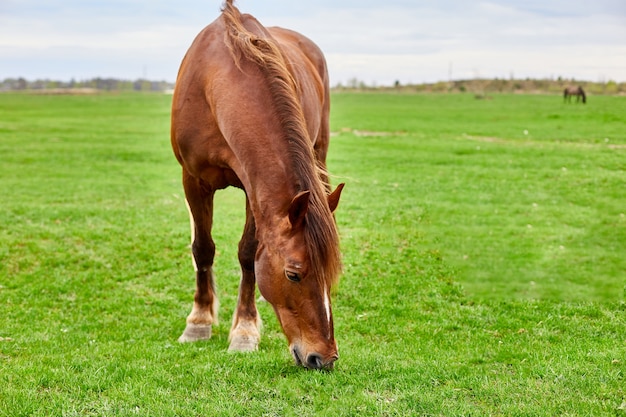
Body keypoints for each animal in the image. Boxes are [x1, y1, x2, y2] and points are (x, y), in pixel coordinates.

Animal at [168, 0, 344, 370]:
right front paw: (199, 322)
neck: (215, 82)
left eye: (331, 273)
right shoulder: (192, 180)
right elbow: (202, 248)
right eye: (293, 274)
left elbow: (248, 253)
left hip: (319, 152)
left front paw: (244, 330)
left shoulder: (255, 190)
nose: (324, 358)